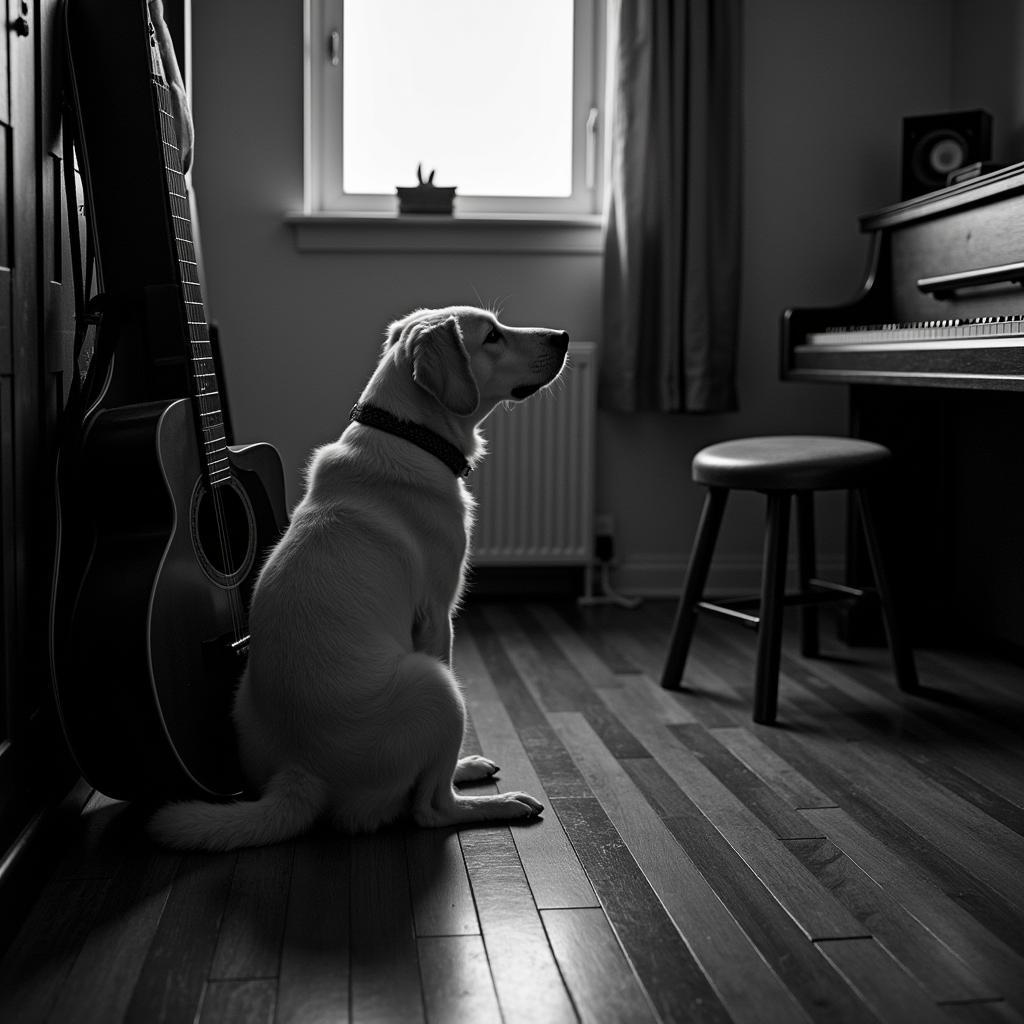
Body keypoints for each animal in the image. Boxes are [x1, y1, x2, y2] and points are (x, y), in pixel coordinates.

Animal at [149, 307, 573, 851]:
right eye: (492, 336)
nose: (563, 336)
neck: (409, 433)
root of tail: (300, 773)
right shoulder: (437, 616)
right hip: (438, 687)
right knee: (430, 807)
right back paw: (495, 803)